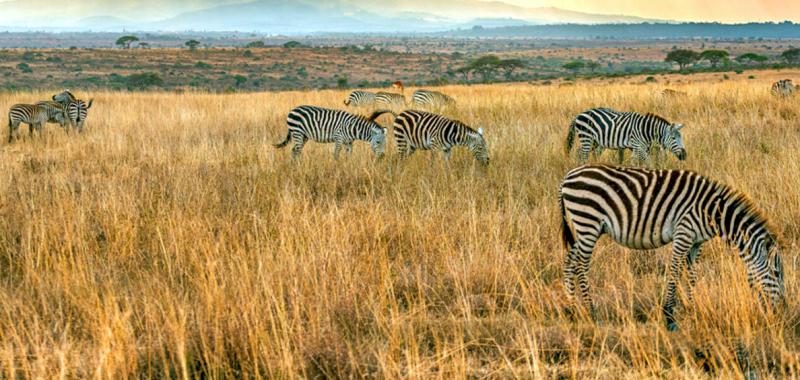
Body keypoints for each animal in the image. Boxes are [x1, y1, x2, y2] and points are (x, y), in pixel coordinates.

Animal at [564, 165, 788, 332]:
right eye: (776, 274)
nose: (782, 311)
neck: (713, 213)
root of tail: (568, 176)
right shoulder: (684, 233)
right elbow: (674, 272)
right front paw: (670, 317)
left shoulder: (696, 242)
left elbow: (691, 275)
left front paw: (692, 309)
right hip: (587, 222)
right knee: (581, 265)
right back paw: (591, 313)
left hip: (584, 228)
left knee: (569, 261)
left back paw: (571, 309)